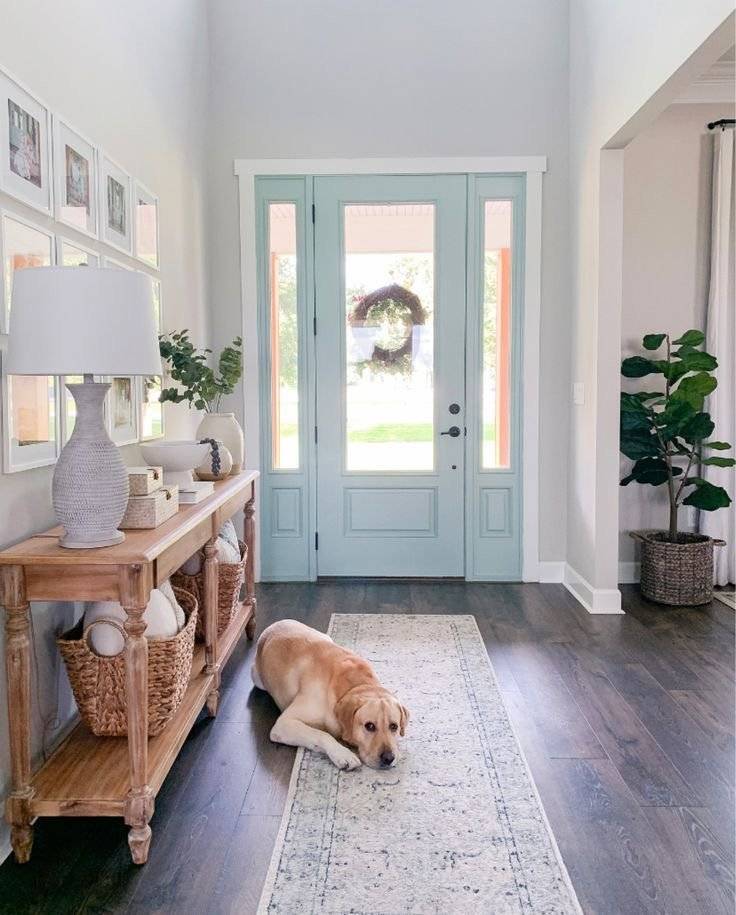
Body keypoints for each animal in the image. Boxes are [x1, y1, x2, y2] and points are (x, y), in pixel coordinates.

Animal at [254, 620, 412, 768]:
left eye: (394, 726)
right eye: (370, 726)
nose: (389, 758)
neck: (353, 686)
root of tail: (276, 624)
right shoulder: (283, 724)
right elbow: (321, 734)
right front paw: (343, 754)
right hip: (257, 678)